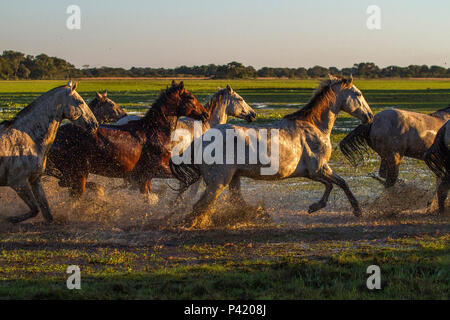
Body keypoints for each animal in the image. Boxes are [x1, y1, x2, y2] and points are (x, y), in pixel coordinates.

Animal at [0, 81, 98, 224]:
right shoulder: (18, 183)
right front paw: (11, 219)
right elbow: (35, 209)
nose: (95, 124)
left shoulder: (35, 180)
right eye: (80, 102)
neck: (28, 138)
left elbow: (46, 211)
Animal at [46, 80, 208, 198]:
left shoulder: (143, 177)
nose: (205, 114)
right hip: (78, 172)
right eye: (190, 97)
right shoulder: (155, 169)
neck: (154, 132)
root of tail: (54, 137)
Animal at [171, 76, 374, 229]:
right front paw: (356, 210)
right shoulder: (320, 169)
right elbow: (342, 183)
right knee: (200, 206)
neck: (314, 126)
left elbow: (331, 185)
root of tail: (201, 140)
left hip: (233, 178)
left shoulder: (313, 173)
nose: (370, 116)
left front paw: (315, 207)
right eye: (358, 94)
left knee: (233, 201)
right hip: (218, 183)